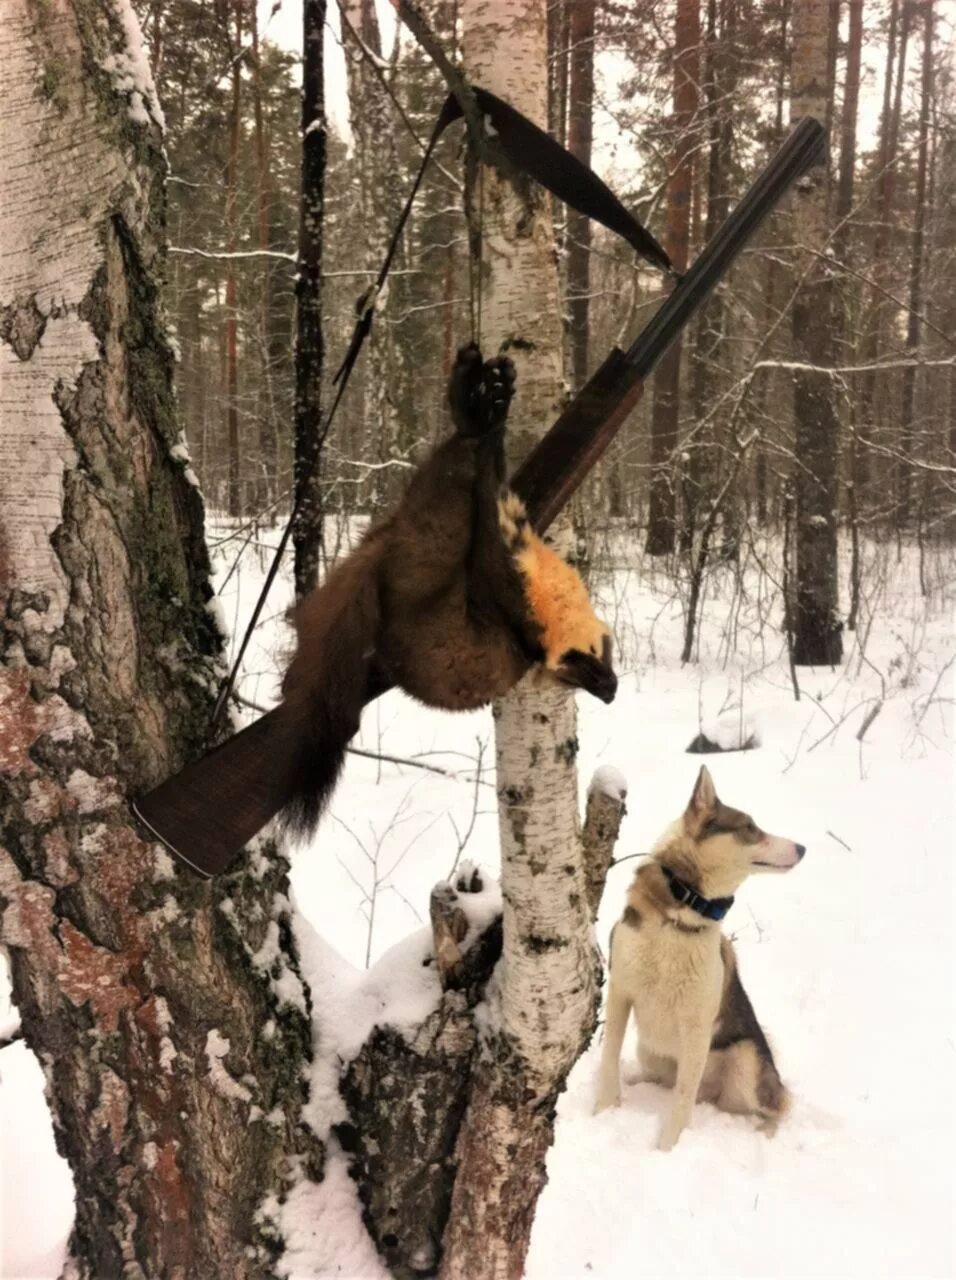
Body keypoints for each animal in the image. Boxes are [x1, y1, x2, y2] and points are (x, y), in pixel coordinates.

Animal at [593, 757, 803, 1152]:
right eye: (750, 828)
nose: (802, 848)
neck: (680, 916)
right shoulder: (620, 995)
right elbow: (608, 1060)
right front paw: (601, 1111)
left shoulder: (696, 1026)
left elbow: (681, 1102)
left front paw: (666, 1152)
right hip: (651, 1052)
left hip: (746, 1060)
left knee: (776, 1109)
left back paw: (763, 1134)